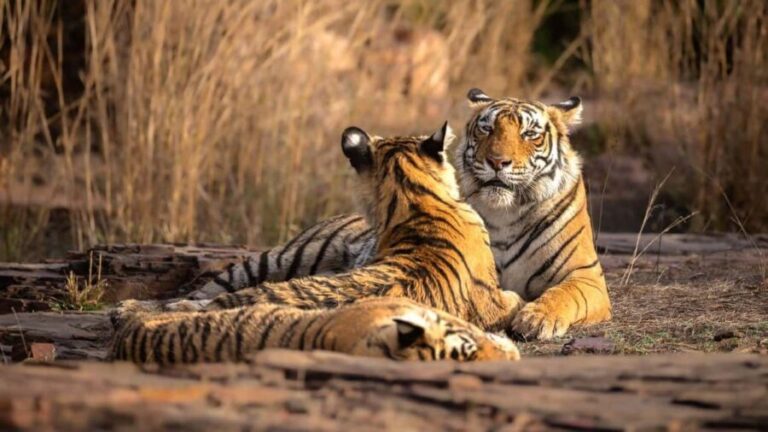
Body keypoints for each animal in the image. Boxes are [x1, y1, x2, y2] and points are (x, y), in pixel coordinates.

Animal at [183, 91, 611, 340]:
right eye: (485, 130)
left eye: (529, 134)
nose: (497, 162)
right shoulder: (495, 294)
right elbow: (512, 298)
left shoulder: (587, 278)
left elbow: (562, 295)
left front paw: (538, 319)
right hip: (278, 259)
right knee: (209, 287)